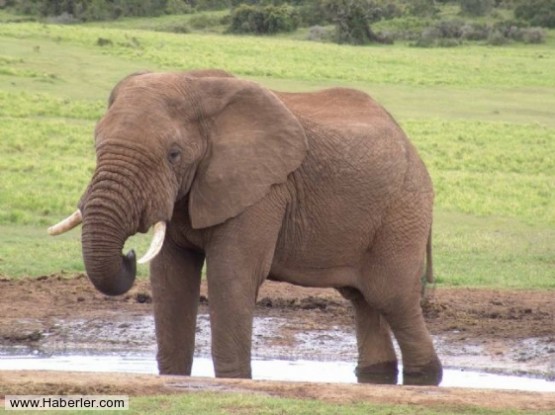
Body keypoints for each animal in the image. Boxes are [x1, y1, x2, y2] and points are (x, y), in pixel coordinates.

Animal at [51, 69, 444, 386]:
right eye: (96, 145)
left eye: (174, 154)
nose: (129, 253)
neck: (197, 86)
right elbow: (171, 280)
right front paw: (174, 377)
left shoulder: (262, 190)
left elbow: (232, 276)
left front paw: (233, 380)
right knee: (362, 299)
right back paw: (377, 376)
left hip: (402, 209)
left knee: (391, 297)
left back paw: (426, 377)